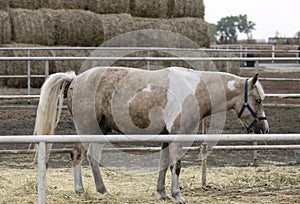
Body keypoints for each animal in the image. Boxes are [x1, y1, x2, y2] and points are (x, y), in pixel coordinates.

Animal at [34, 66, 268, 203]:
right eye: (258, 100)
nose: (264, 129)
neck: (194, 89)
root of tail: (75, 79)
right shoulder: (178, 137)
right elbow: (176, 166)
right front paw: (178, 195)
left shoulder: (166, 137)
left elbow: (163, 164)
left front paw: (162, 193)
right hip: (86, 129)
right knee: (77, 155)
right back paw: (80, 190)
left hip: (101, 131)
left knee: (92, 157)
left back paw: (102, 189)